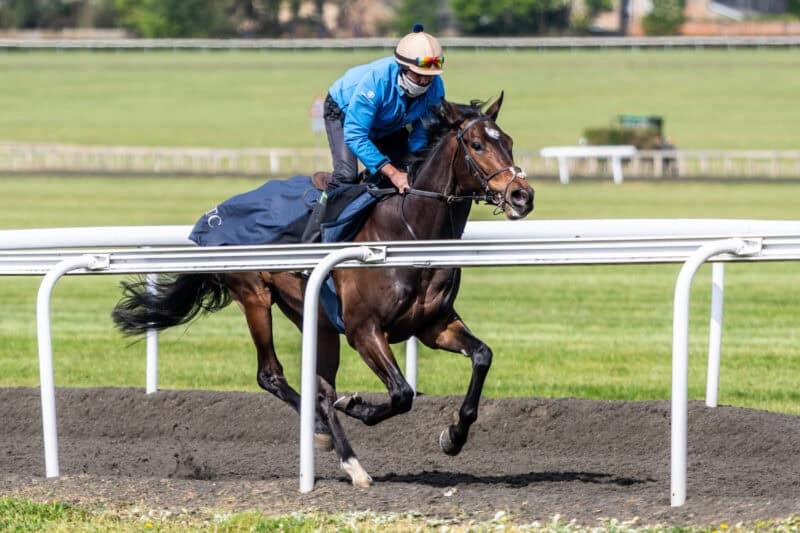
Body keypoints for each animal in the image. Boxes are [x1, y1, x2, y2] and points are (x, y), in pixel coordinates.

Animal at [112, 93, 534, 487]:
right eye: (477, 145)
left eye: (509, 141)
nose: (522, 196)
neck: (405, 234)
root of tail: (211, 218)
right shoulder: (365, 331)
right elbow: (401, 393)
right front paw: (358, 405)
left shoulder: (433, 325)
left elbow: (482, 356)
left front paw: (454, 436)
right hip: (255, 296)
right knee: (273, 376)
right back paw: (327, 438)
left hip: (316, 319)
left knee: (320, 390)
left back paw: (346, 455)